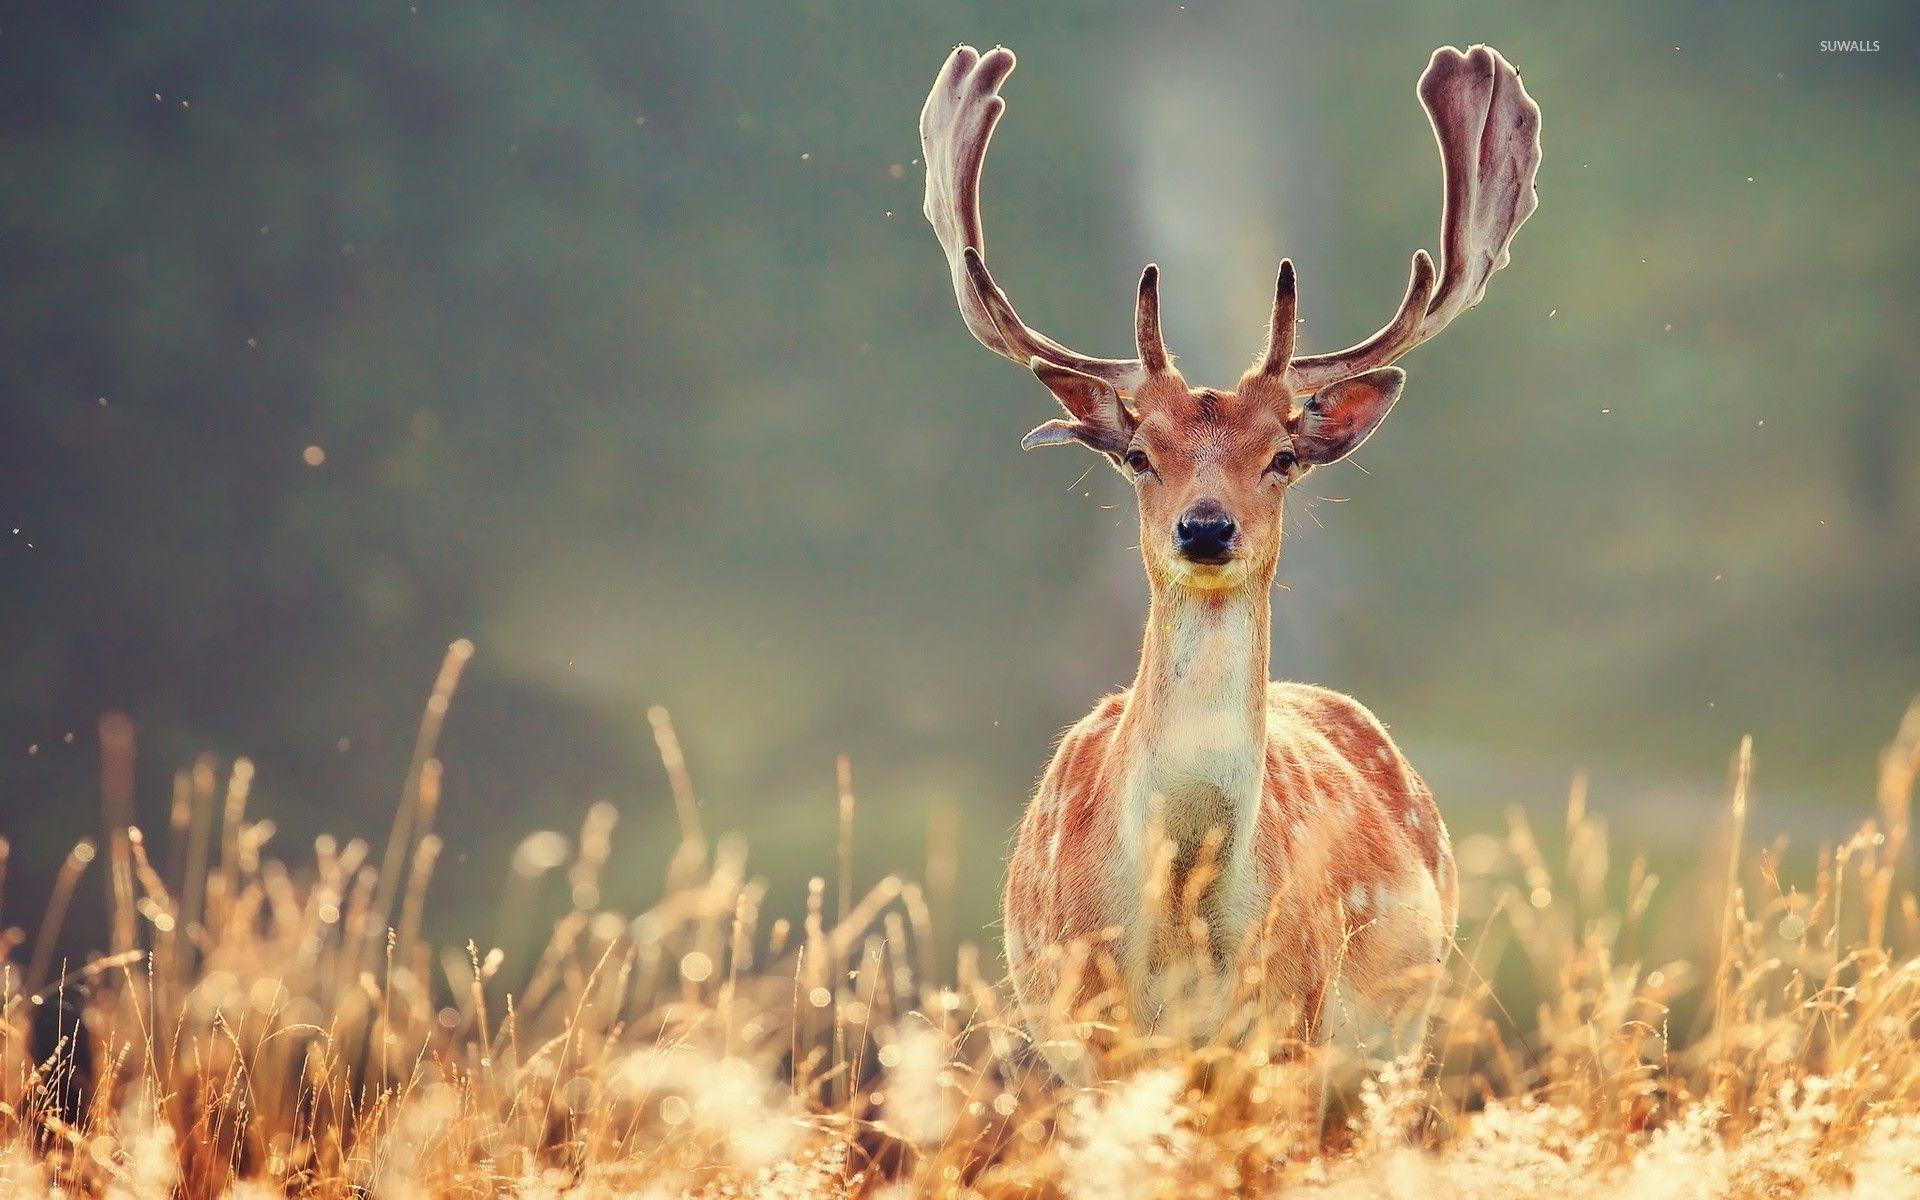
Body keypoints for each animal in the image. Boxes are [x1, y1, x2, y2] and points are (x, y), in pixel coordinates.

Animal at [920, 43, 1540, 1082]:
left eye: (1281, 455)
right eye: (1139, 455)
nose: (1206, 529)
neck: (1181, 918)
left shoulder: (1290, 1024)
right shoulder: (1088, 1036)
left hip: (1398, 1041)